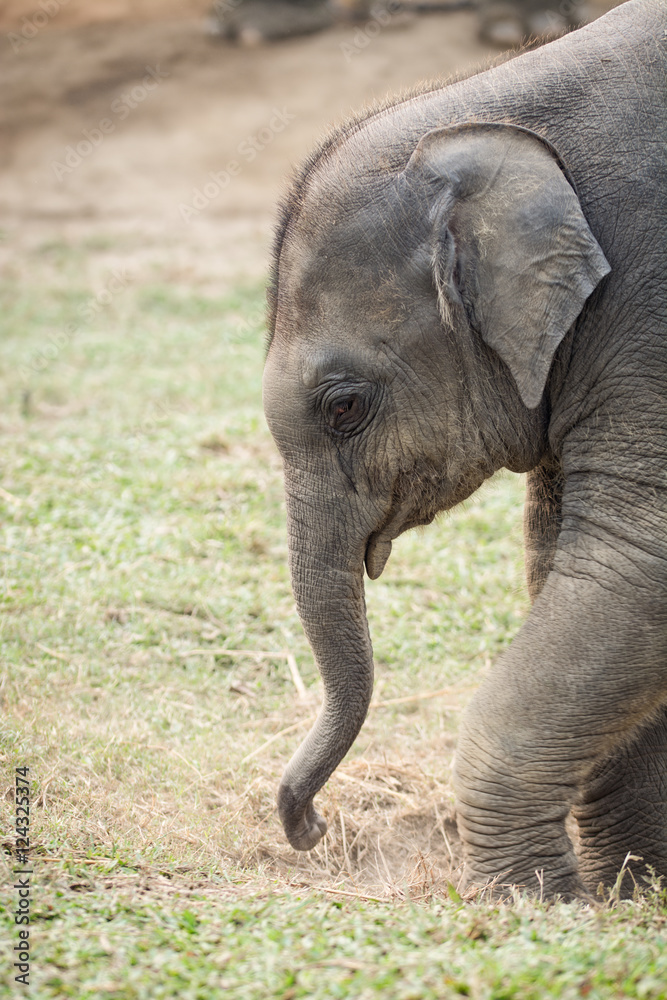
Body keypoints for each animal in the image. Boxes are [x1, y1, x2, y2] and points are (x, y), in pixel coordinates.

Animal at [262, 0, 666, 900]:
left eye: (343, 407)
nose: (307, 827)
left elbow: (634, 558)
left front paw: (533, 900)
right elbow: (569, 562)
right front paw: (628, 889)